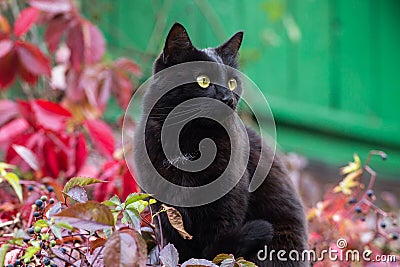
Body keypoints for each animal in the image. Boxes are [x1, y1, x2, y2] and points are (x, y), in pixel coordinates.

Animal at [133, 23, 308, 267]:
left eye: (232, 82)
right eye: (203, 80)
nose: (228, 98)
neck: (189, 143)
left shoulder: (224, 212)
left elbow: (217, 251)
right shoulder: (164, 216)